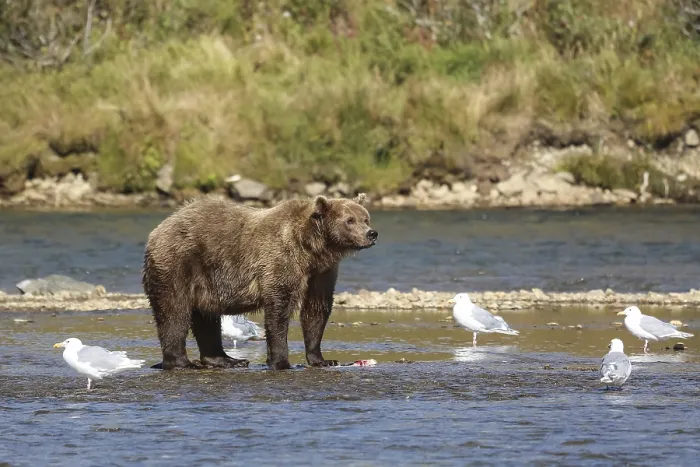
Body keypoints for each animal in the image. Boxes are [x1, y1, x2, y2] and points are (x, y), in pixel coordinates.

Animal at [142, 193, 378, 371]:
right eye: (350, 220)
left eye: (365, 218)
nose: (372, 233)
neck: (311, 249)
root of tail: (158, 229)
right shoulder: (281, 258)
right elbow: (279, 308)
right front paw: (281, 362)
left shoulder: (321, 273)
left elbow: (316, 310)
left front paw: (322, 359)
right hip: (179, 262)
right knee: (174, 311)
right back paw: (182, 362)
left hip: (205, 282)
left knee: (206, 317)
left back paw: (227, 360)